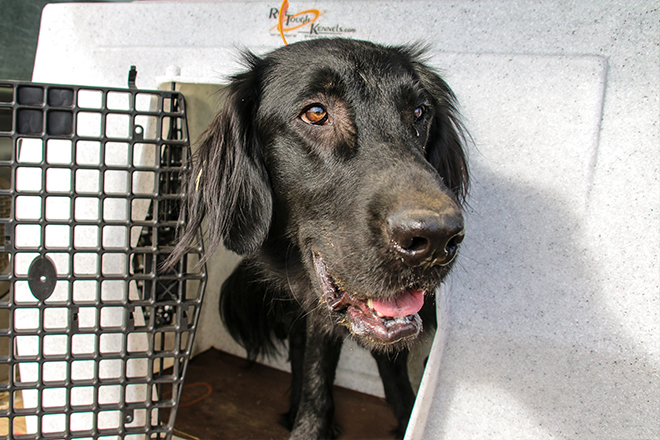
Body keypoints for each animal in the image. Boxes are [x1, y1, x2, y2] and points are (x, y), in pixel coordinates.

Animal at [170, 39, 470, 438]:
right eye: (315, 113)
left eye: (420, 112)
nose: (436, 237)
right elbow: (316, 367)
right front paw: (308, 423)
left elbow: (395, 372)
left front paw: (408, 417)